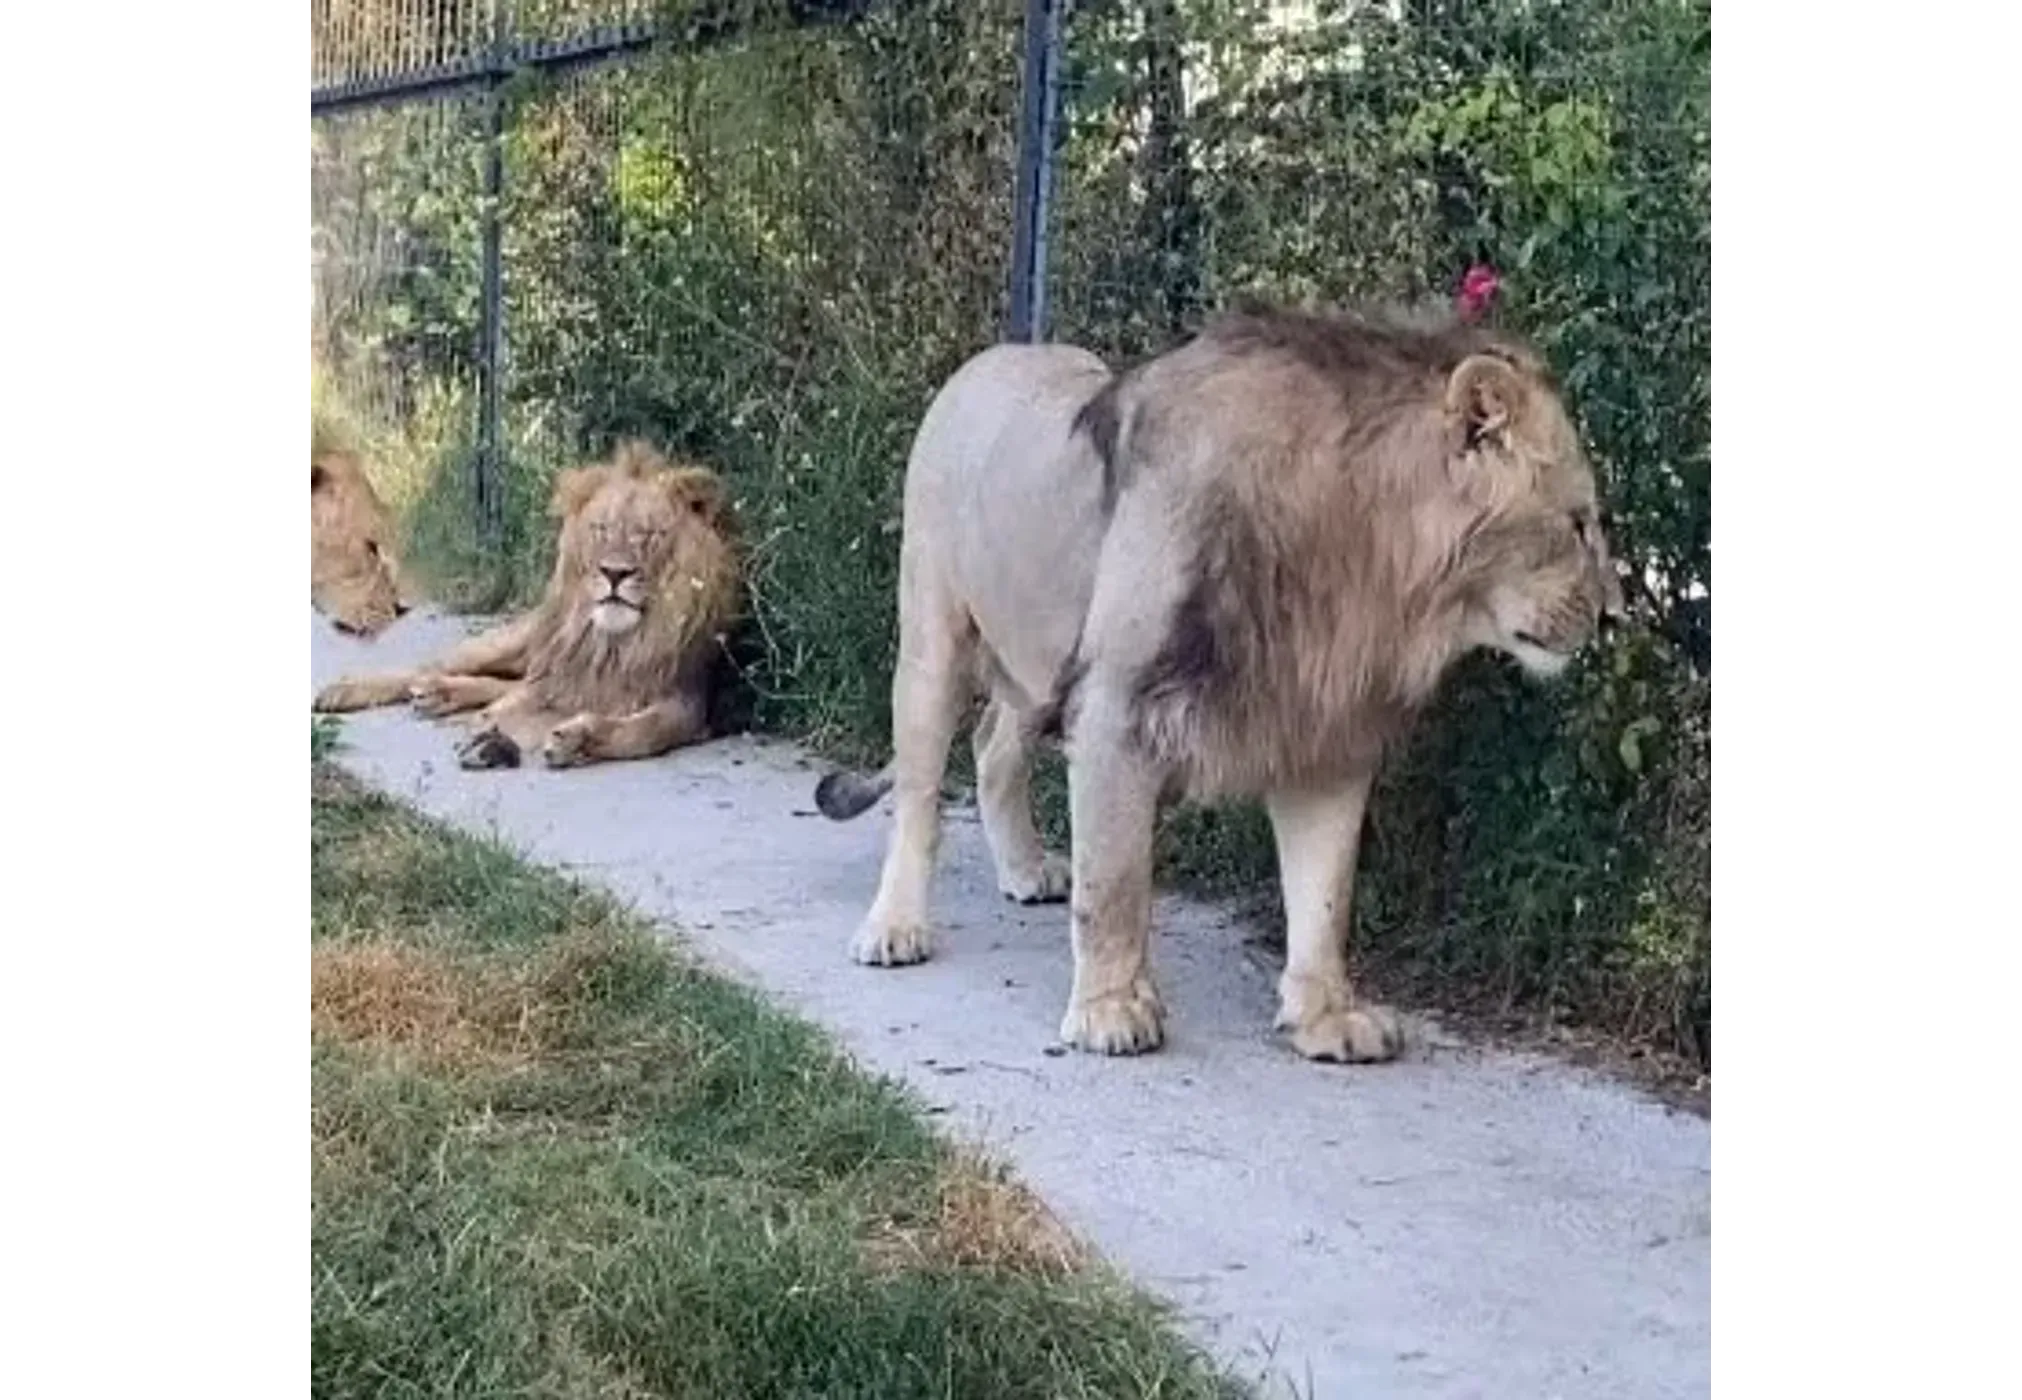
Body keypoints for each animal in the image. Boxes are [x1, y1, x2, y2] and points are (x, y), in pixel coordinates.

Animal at [319, 441, 748, 772]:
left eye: (650, 534)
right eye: (601, 529)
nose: (614, 572)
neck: (617, 643)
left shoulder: (686, 704)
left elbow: (642, 731)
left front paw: (576, 739)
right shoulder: (553, 679)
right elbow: (504, 709)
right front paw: (488, 738)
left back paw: (437, 695)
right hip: (514, 643)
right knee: (433, 666)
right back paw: (348, 690)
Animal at [820, 303, 1625, 1060]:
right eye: (1579, 524)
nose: (1614, 614)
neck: (1360, 561)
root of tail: (991, 357)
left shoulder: (1323, 729)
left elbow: (1325, 893)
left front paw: (1325, 1018)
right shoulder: (1116, 705)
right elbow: (1115, 881)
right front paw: (1112, 1011)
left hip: (1035, 660)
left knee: (992, 748)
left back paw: (1023, 869)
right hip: (934, 637)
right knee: (920, 796)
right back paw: (895, 928)